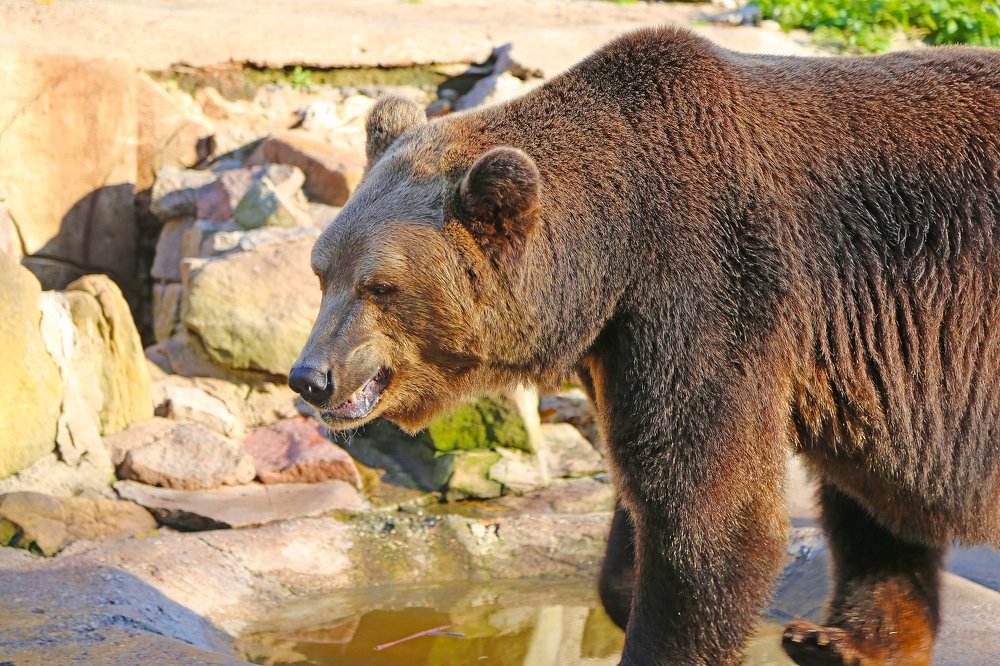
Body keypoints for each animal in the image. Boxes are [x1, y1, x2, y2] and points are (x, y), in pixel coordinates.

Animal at [289, 26, 1000, 665]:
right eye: (322, 271)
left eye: (380, 286)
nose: (310, 377)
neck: (612, 253)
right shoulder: (621, 341)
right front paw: (624, 585)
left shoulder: (711, 290)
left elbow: (708, 515)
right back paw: (843, 641)